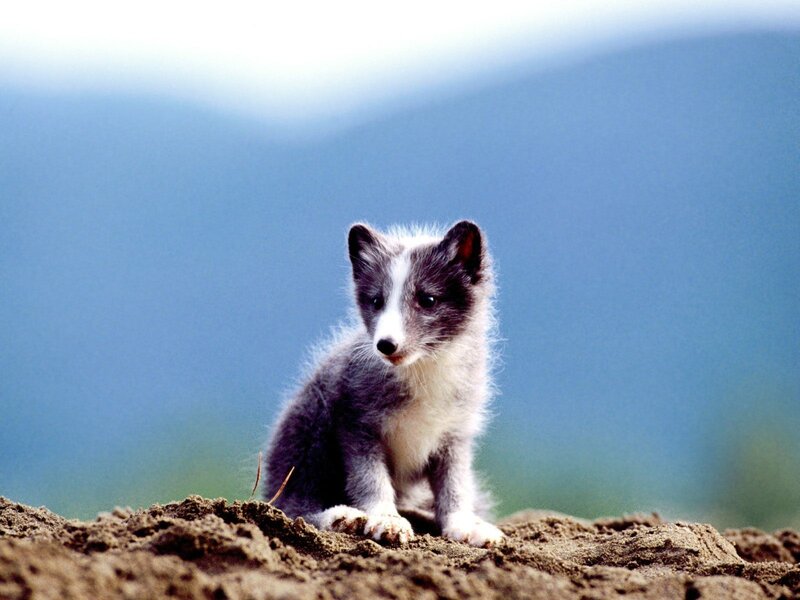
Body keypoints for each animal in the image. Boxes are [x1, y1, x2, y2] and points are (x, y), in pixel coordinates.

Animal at [263, 220, 503, 547]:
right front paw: (385, 519)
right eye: (377, 301)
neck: (422, 370)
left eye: (427, 300)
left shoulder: (454, 435)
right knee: (291, 506)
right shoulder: (356, 425)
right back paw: (341, 518)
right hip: (309, 429)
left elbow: (455, 486)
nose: (385, 345)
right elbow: (371, 480)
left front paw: (464, 525)